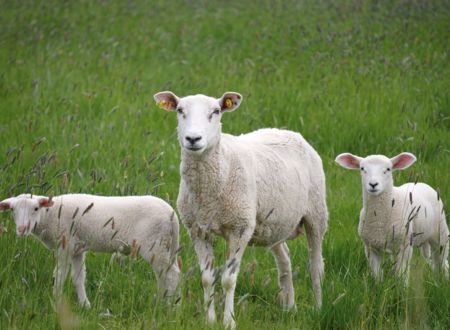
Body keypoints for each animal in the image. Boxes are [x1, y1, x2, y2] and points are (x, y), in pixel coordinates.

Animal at [1, 193, 181, 306]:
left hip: (155, 245)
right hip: (164, 246)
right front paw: (85, 305)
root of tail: (172, 214)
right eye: (13, 210)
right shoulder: (77, 249)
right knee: (164, 274)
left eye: (36, 208)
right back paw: (165, 302)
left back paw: (169, 307)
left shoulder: (65, 245)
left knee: (172, 275)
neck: (50, 216)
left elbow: (59, 276)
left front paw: (56, 302)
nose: (22, 229)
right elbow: (78, 278)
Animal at [154, 90, 326, 328]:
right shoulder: (197, 229)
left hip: (316, 213)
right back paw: (290, 307)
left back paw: (318, 309)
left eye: (216, 111)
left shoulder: (240, 228)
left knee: (315, 265)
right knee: (285, 260)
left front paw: (229, 321)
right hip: (275, 224)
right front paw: (209, 320)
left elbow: (228, 280)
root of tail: (289, 132)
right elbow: (207, 278)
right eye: (180, 110)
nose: (193, 139)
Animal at [336, 152, 448, 284]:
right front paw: (378, 286)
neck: (380, 219)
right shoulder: (371, 248)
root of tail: (422, 184)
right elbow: (376, 274)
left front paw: (402, 289)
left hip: (440, 233)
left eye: (388, 169)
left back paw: (443, 280)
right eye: (362, 168)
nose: (373, 184)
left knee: (442, 261)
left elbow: (401, 274)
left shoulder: (404, 246)